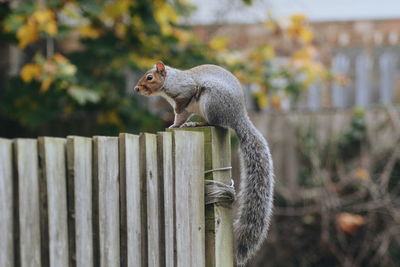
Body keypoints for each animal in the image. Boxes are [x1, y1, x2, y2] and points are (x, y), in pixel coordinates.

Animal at [134, 61, 276, 266]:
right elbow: (180, 116)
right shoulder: (185, 108)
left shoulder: (185, 89)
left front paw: (176, 123)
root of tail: (238, 117)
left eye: (150, 77)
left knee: (216, 123)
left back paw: (198, 124)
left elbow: (181, 108)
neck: (170, 80)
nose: (136, 89)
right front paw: (174, 125)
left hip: (211, 101)